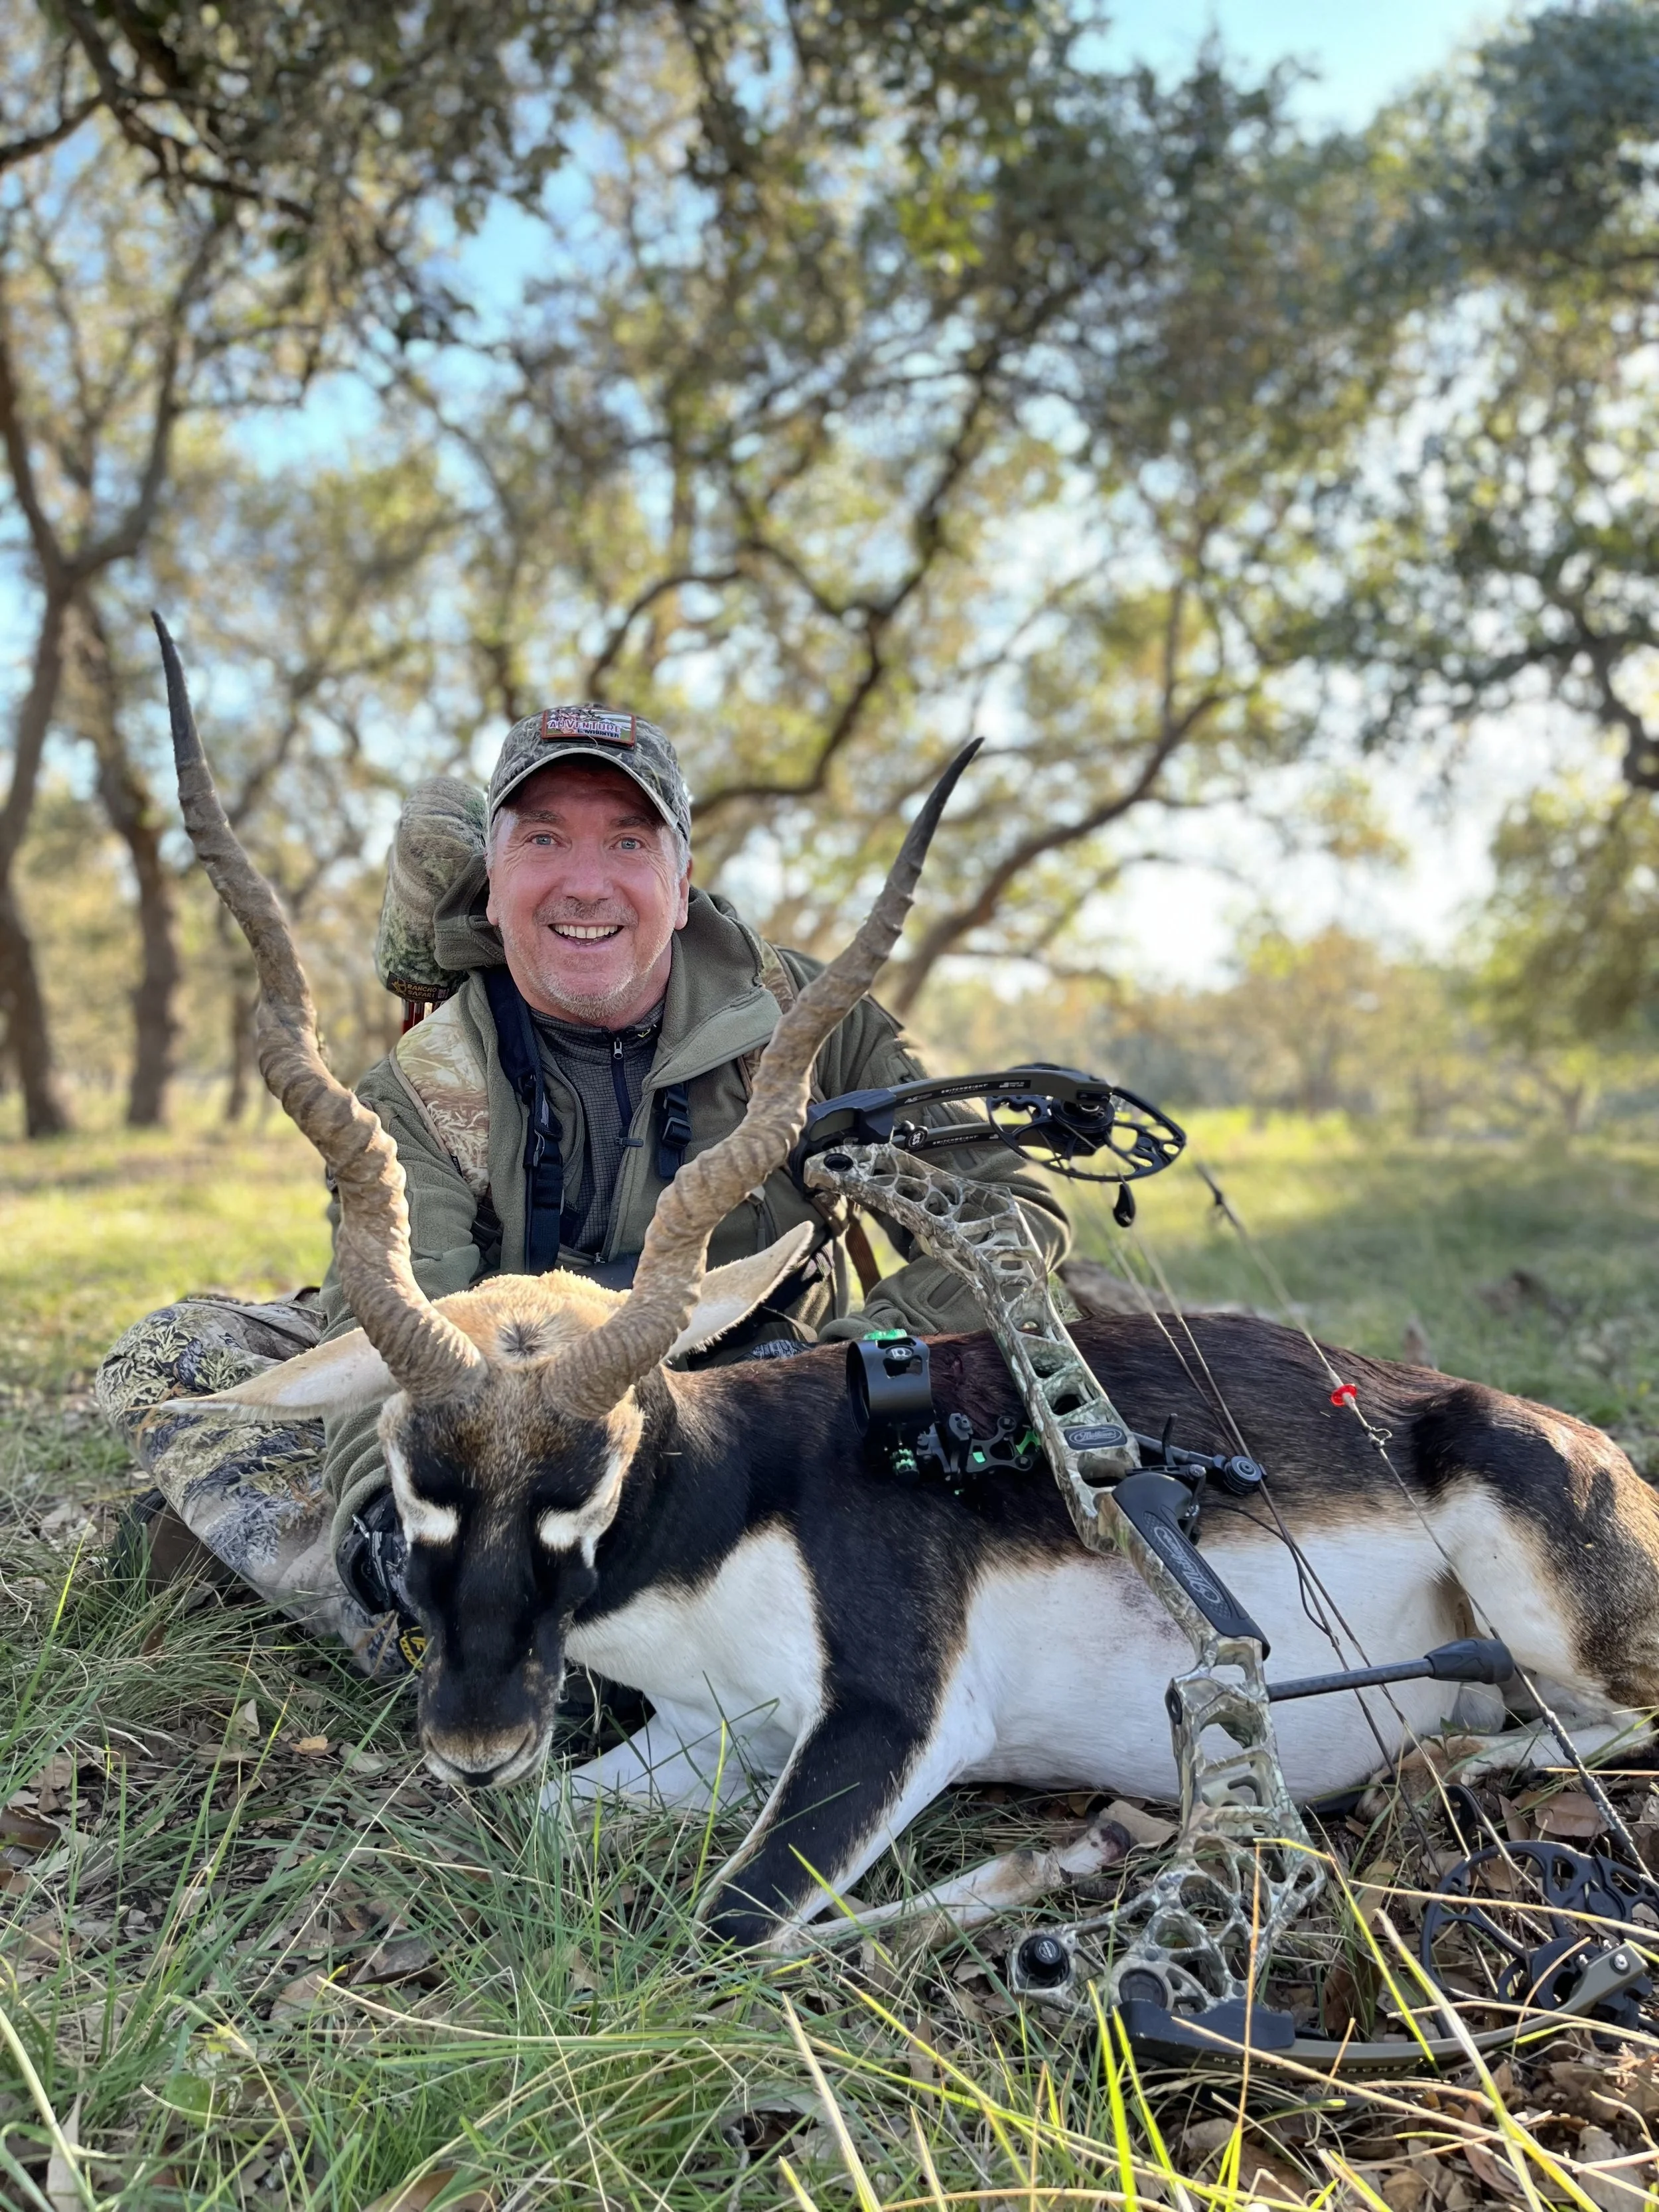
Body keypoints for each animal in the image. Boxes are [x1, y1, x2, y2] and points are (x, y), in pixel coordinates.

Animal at [157, 619, 1659, 1952]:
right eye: (416, 1482)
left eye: (592, 1478)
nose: (473, 1738)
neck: (731, 1511)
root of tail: (1598, 1453)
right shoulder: (715, 1734)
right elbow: (553, 1829)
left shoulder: (896, 1718)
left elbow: (728, 1931)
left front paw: (1074, 1850)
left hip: (1538, 1607)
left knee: (1604, 1721)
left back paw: (1435, 1772)